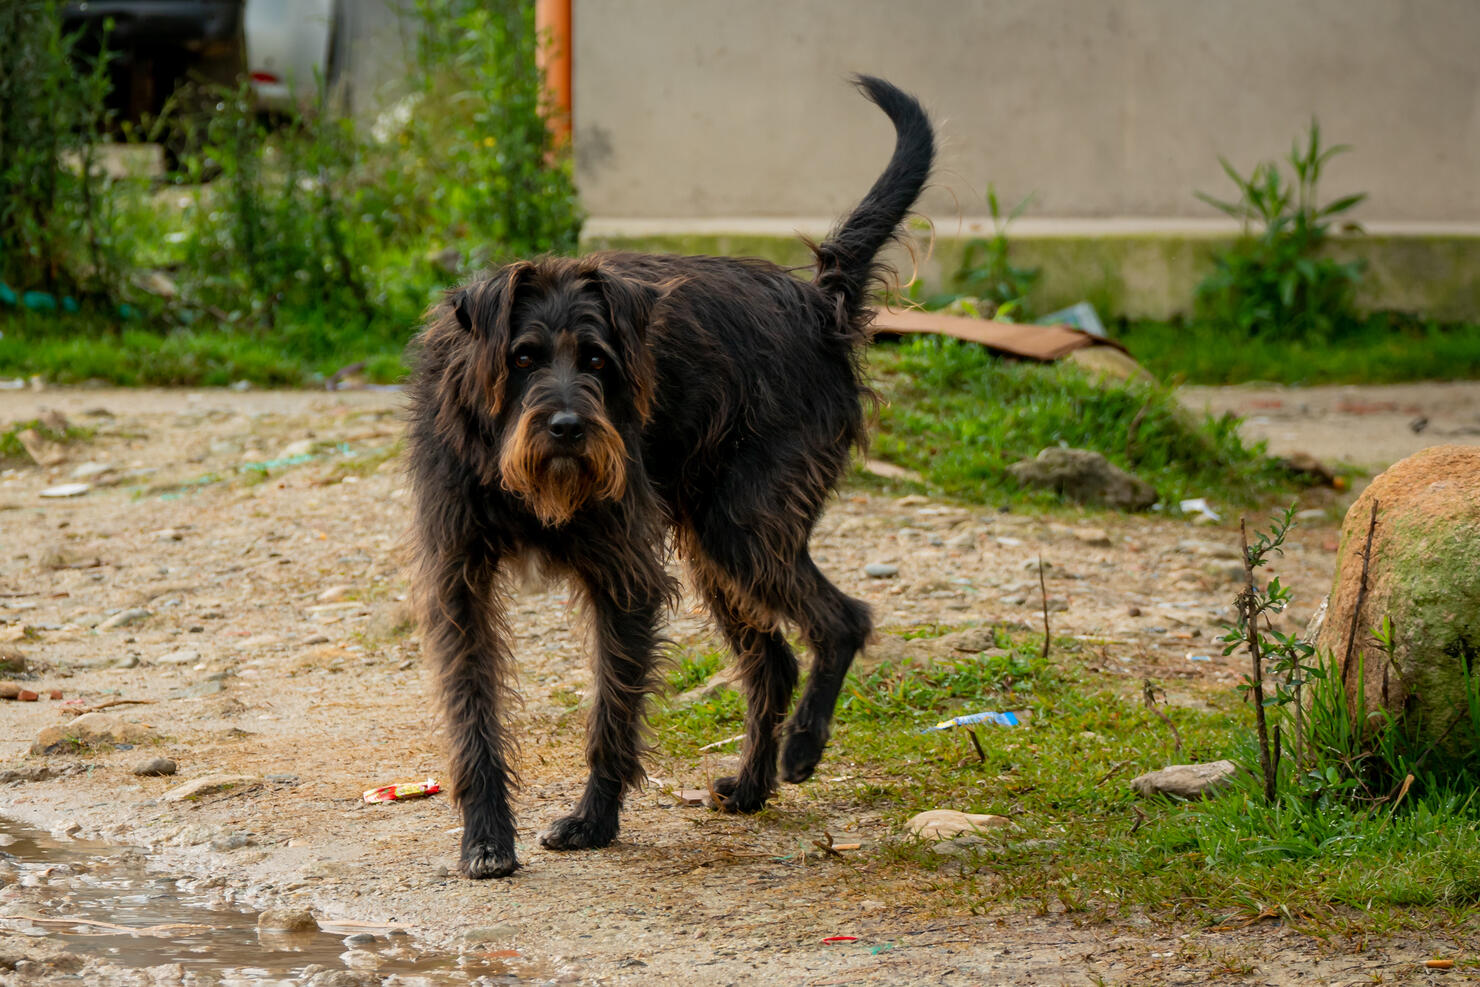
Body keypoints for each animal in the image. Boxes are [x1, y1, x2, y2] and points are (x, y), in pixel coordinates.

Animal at [405, 77, 935, 881]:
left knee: (842, 620)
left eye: (597, 359)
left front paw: (594, 822)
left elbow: (612, 710)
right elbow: (474, 714)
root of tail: (816, 302)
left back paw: (803, 747)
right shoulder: (459, 582)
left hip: (741, 528)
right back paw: (750, 784)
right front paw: (488, 836)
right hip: (720, 545)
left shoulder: (623, 576)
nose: (569, 427)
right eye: (523, 357)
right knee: (774, 659)